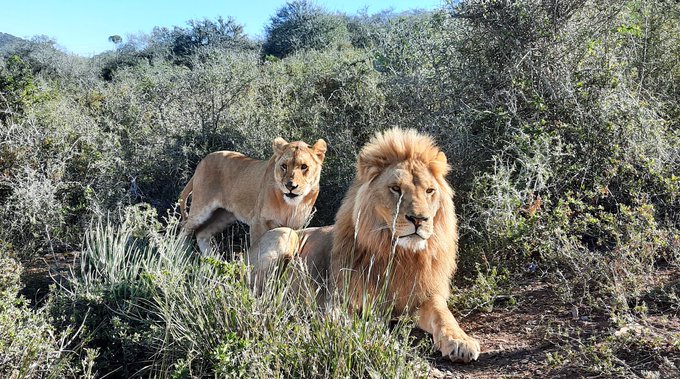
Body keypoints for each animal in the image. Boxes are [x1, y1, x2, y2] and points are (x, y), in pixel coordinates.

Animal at [179, 137, 328, 252]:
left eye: (304, 167)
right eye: (284, 166)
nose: (290, 186)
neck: (289, 206)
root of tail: (203, 160)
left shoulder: (296, 227)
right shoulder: (258, 222)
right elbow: (257, 247)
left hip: (224, 215)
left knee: (201, 234)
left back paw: (213, 260)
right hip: (200, 210)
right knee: (184, 230)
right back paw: (180, 254)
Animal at [252, 129, 480, 364]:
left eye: (429, 191)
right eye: (396, 189)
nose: (420, 219)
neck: (398, 253)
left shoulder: (426, 296)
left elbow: (444, 316)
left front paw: (460, 341)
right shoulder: (339, 299)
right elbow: (349, 323)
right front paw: (380, 342)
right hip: (284, 237)